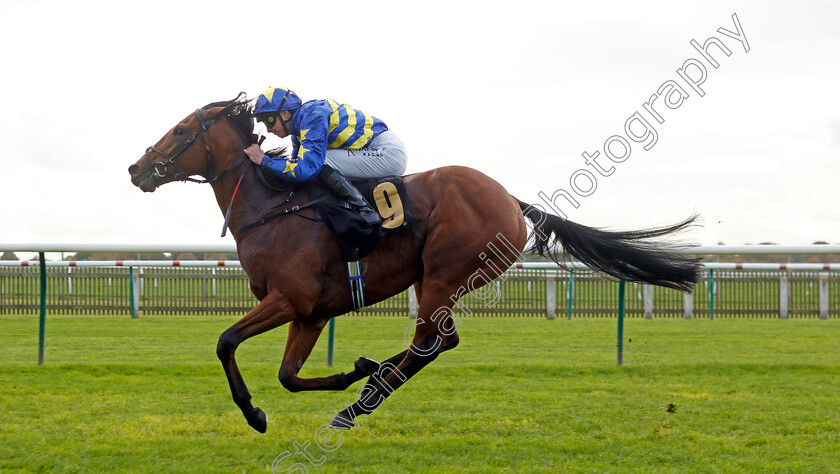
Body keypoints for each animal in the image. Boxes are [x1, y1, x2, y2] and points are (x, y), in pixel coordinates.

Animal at [126, 93, 704, 434]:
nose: (136, 169)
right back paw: (367, 384)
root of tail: (510, 200)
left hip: (445, 272)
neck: (274, 205)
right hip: (433, 280)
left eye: (181, 130)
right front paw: (349, 372)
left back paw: (363, 397)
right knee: (437, 342)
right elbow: (289, 376)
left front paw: (255, 413)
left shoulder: (290, 298)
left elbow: (226, 343)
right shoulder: (311, 312)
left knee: (431, 342)